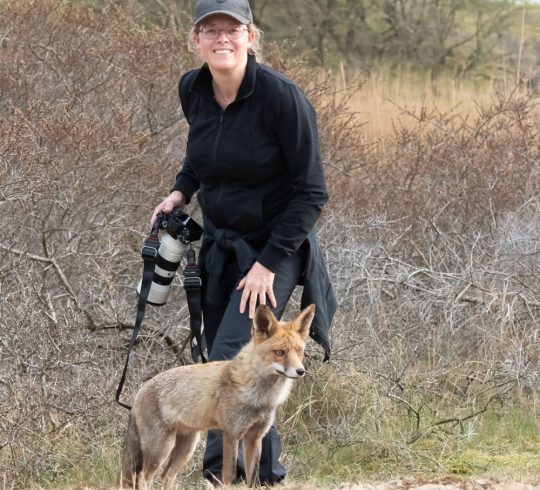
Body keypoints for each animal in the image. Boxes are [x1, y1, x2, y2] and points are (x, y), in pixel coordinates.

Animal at [120, 304, 314, 488]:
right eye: (280, 352)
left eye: (299, 351)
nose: (301, 371)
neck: (260, 398)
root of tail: (139, 392)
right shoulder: (231, 434)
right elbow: (229, 475)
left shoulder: (255, 437)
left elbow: (253, 477)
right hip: (161, 449)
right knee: (143, 477)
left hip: (187, 447)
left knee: (167, 476)